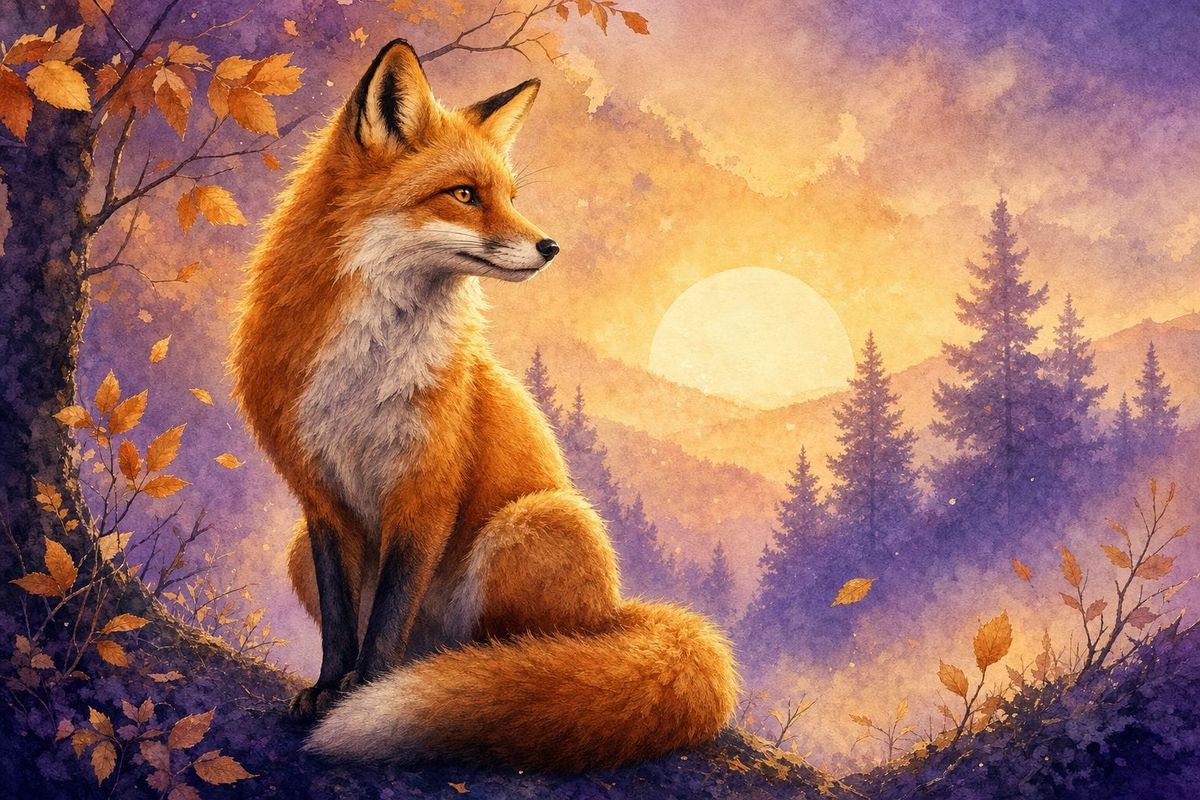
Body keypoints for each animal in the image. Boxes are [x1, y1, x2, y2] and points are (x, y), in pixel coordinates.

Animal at [229, 39, 738, 772]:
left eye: (511, 197)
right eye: (465, 194)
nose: (551, 246)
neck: (365, 367)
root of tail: (615, 615)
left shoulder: (426, 491)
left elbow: (384, 622)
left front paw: (365, 693)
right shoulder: (318, 496)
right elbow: (342, 623)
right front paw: (328, 689)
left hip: (533, 523)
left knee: (518, 663)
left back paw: (480, 684)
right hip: (306, 548)